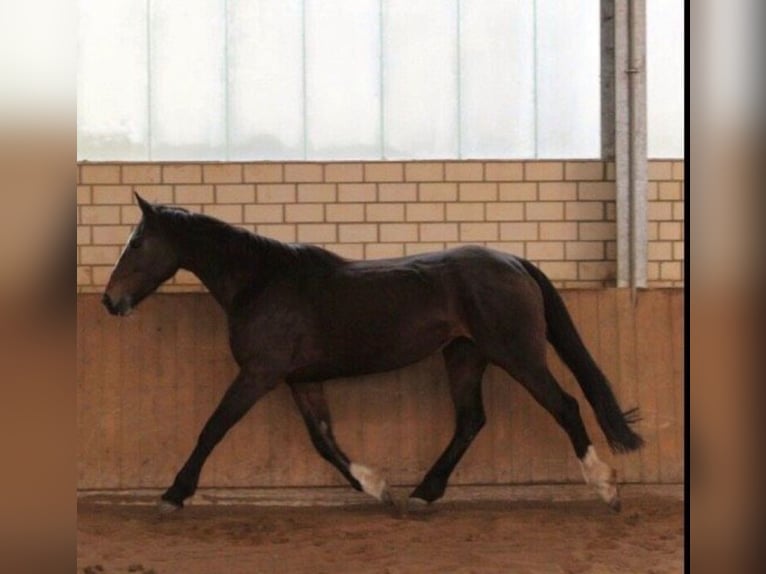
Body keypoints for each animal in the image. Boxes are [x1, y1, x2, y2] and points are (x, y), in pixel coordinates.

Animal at [102, 193, 643, 514]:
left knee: (564, 405)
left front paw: (174, 493)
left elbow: (213, 427)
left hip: (517, 354)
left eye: (138, 242)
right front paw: (376, 486)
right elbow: (324, 441)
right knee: (470, 420)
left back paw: (604, 485)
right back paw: (424, 493)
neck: (261, 281)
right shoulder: (301, 379)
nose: (111, 300)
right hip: (464, 355)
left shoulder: (259, 374)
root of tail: (513, 261)